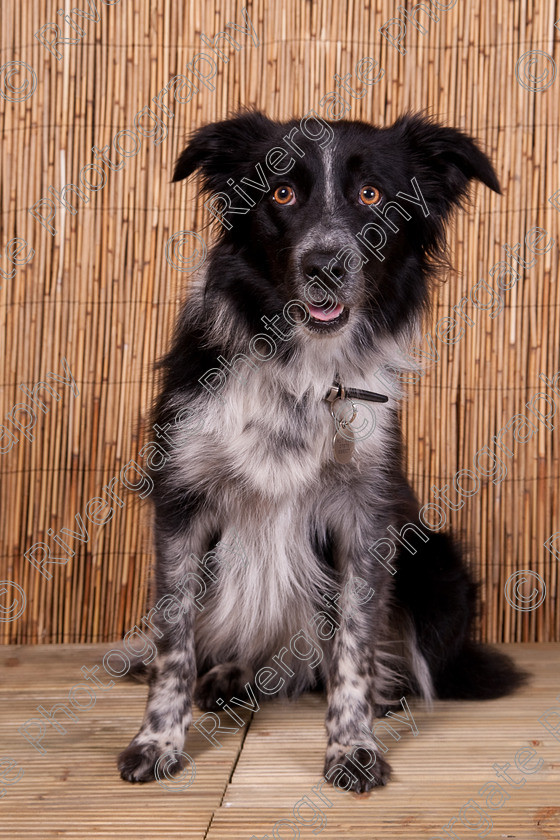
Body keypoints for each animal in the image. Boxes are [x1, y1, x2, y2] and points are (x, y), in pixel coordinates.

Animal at [117, 110, 524, 788]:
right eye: (282, 193)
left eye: (372, 195)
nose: (325, 264)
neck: (304, 369)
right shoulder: (182, 502)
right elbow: (173, 639)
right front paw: (157, 741)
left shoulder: (366, 517)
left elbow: (354, 645)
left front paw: (352, 744)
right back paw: (232, 674)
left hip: (436, 564)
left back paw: (382, 694)